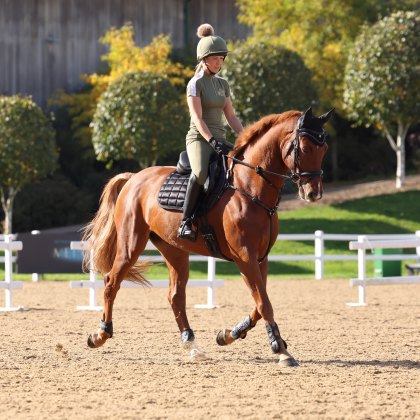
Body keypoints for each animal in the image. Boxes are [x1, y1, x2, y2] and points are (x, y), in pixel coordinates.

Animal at [82, 106, 332, 366]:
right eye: (305, 148)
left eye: (324, 149)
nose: (314, 193)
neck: (250, 188)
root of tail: (134, 178)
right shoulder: (245, 258)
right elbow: (264, 303)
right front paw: (280, 349)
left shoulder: (260, 258)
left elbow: (258, 304)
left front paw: (229, 334)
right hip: (130, 245)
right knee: (111, 282)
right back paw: (100, 334)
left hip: (174, 251)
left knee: (175, 296)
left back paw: (191, 345)